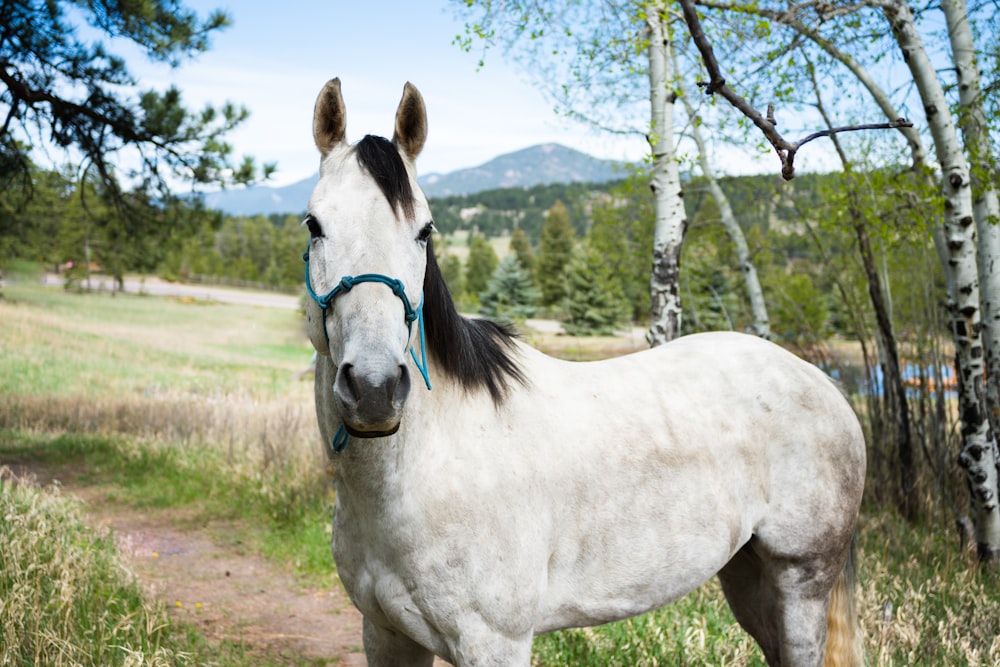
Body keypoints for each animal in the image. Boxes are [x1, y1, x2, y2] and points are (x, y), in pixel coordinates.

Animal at [300, 79, 864, 667]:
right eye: (314, 225)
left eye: (424, 231)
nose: (374, 389)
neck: (422, 471)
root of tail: (823, 382)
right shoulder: (386, 634)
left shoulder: (494, 644)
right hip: (749, 579)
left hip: (801, 585)